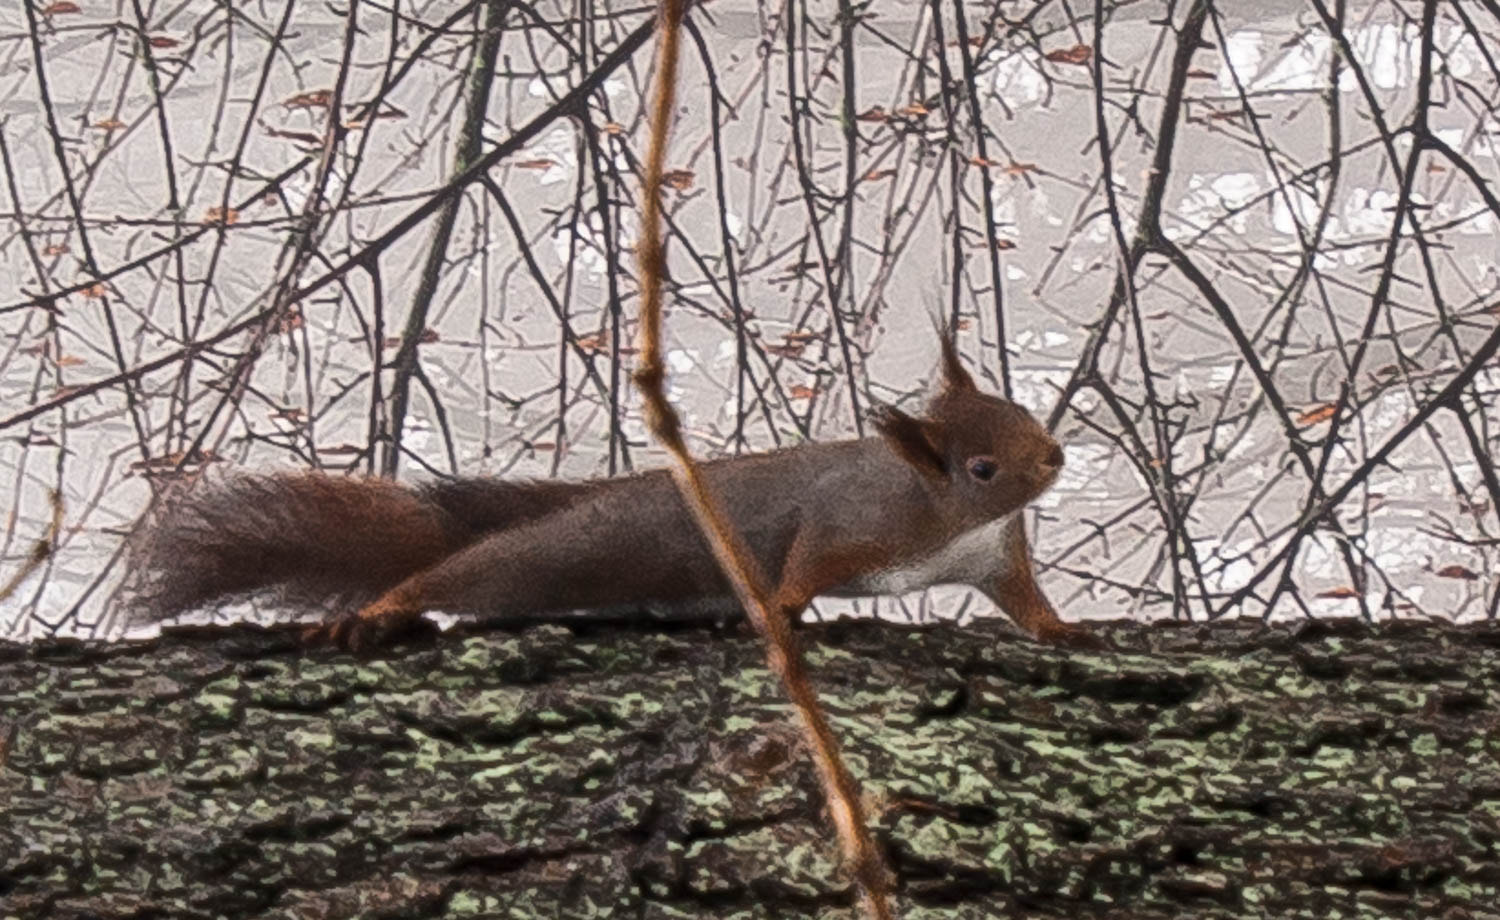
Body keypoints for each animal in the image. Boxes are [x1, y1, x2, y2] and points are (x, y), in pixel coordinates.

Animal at [128, 336, 1096, 651]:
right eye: (980, 467)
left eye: (1021, 406)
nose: (1054, 456)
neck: (944, 520)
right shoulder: (850, 519)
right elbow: (802, 562)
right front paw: (785, 611)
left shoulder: (996, 556)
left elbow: (1025, 602)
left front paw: (1064, 629)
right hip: (560, 554)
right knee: (467, 573)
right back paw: (383, 608)